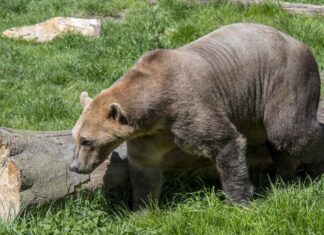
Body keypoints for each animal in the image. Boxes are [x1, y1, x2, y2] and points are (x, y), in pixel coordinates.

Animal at [69, 22, 324, 209]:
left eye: (87, 141)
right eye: (75, 137)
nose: (74, 166)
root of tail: (301, 43)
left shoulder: (188, 108)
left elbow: (226, 142)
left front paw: (238, 202)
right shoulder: (151, 134)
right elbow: (145, 168)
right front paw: (141, 209)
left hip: (285, 79)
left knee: (288, 132)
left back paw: (315, 169)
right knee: (276, 141)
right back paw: (287, 176)